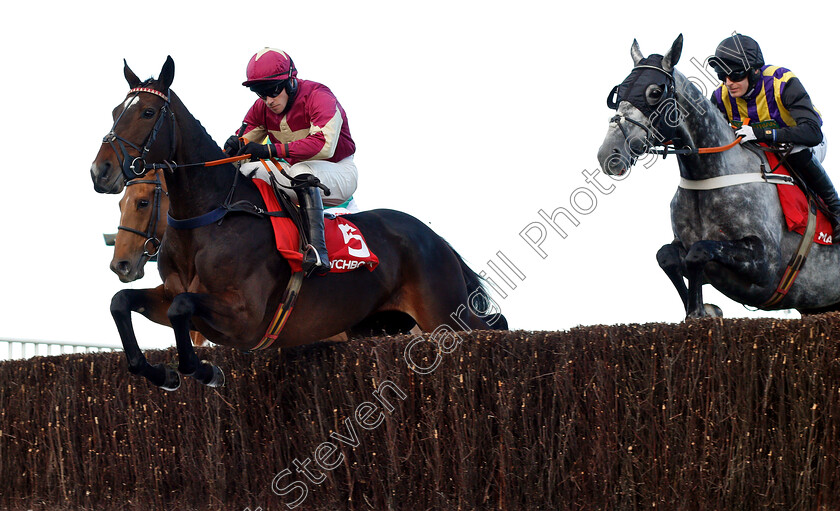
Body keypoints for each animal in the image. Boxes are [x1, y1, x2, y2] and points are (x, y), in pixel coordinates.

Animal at [90, 56, 506, 390]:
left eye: (147, 112)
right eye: (114, 111)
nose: (101, 172)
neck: (211, 216)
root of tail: (435, 238)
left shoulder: (244, 317)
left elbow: (181, 310)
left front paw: (206, 371)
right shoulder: (171, 295)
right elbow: (122, 302)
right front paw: (162, 373)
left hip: (443, 315)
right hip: (375, 325)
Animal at [592, 35, 840, 316]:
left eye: (654, 92)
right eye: (619, 92)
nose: (608, 154)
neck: (708, 178)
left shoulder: (766, 265)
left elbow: (699, 251)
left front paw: (701, 311)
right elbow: (665, 256)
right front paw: (701, 310)